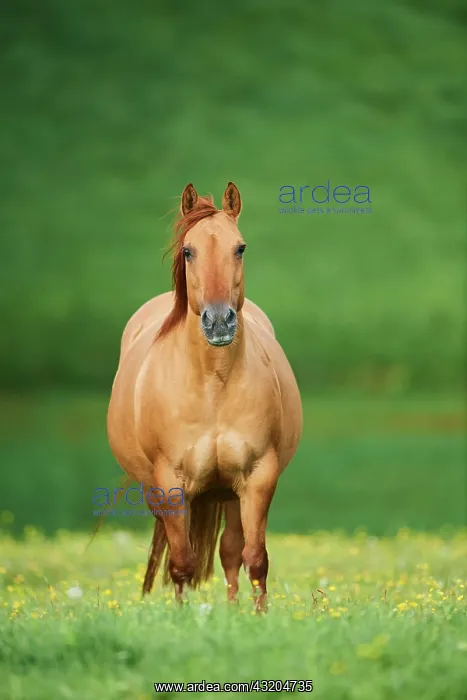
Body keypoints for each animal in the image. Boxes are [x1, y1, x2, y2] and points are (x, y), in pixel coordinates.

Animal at [107, 182, 302, 611]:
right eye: (188, 250)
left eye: (240, 248)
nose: (218, 321)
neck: (213, 384)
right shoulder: (170, 485)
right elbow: (182, 562)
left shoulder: (257, 478)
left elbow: (254, 558)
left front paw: (259, 617)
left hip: (227, 492)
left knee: (230, 551)